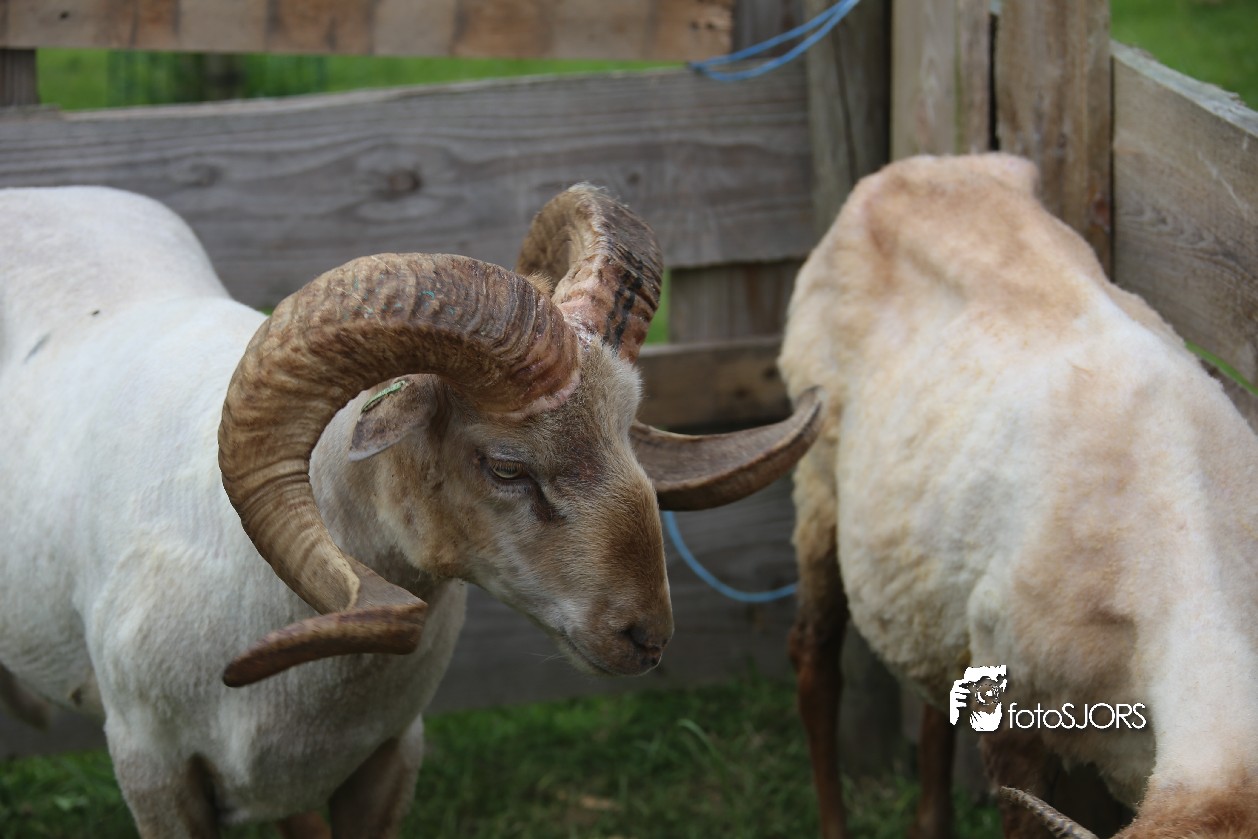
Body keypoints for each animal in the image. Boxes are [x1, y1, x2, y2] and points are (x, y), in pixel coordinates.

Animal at [0, 182, 823, 837]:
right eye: (506, 466)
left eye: (628, 431)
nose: (647, 637)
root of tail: (53, 192)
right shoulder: (153, 772)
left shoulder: (388, 755)